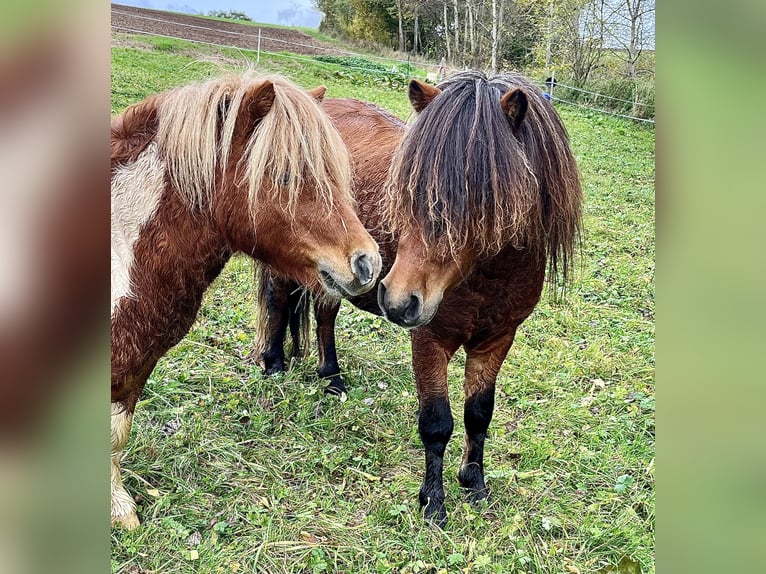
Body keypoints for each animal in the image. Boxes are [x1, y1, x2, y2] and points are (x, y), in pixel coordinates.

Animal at [256, 73, 584, 532]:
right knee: (278, 300)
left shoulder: (497, 339)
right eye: (407, 190)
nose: (396, 298)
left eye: (483, 198)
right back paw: (274, 366)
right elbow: (437, 423)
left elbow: (479, 413)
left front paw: (474, 484)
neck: (488, 277)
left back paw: (332, 377)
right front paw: (433, 503)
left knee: (324, 313)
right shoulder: (429, 339)